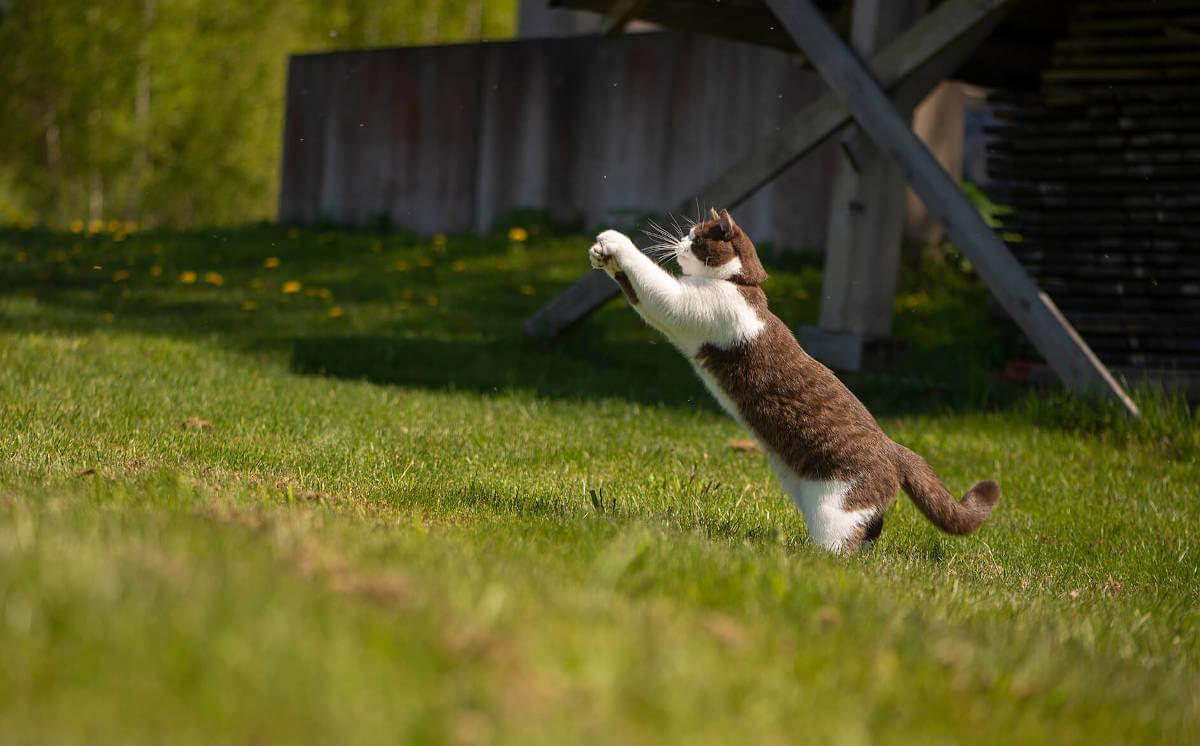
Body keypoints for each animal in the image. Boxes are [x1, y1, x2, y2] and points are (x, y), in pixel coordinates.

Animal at [585, 211, 998, 556]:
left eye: (696, 237)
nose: (682, 240)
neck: (738, 283)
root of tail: (895, 449)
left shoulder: (690, 306)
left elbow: (655, 288)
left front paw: (615, 242)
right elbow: (637, 292)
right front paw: (602, 256)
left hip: (835, 506)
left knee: (844, 542)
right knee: (872, 528)